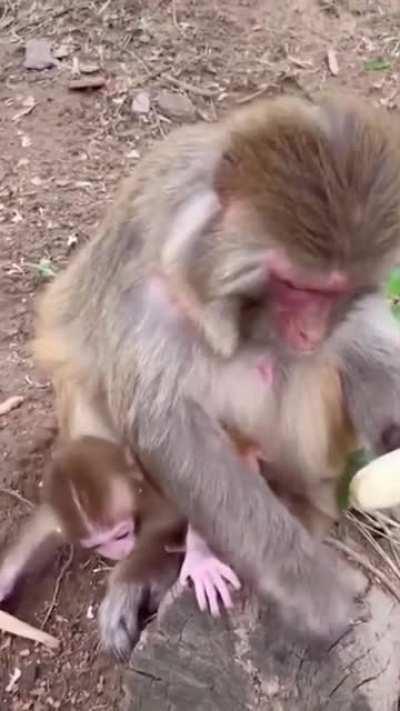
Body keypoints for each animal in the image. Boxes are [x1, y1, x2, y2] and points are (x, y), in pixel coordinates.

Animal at [28, 91, 400, 660]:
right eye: (297, 286)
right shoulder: (148, 291)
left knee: (299, 368)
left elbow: (361, 344)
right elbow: (169, 426)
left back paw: (297, 508)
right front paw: (308, 588)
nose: (310, 330)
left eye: (335, 292)